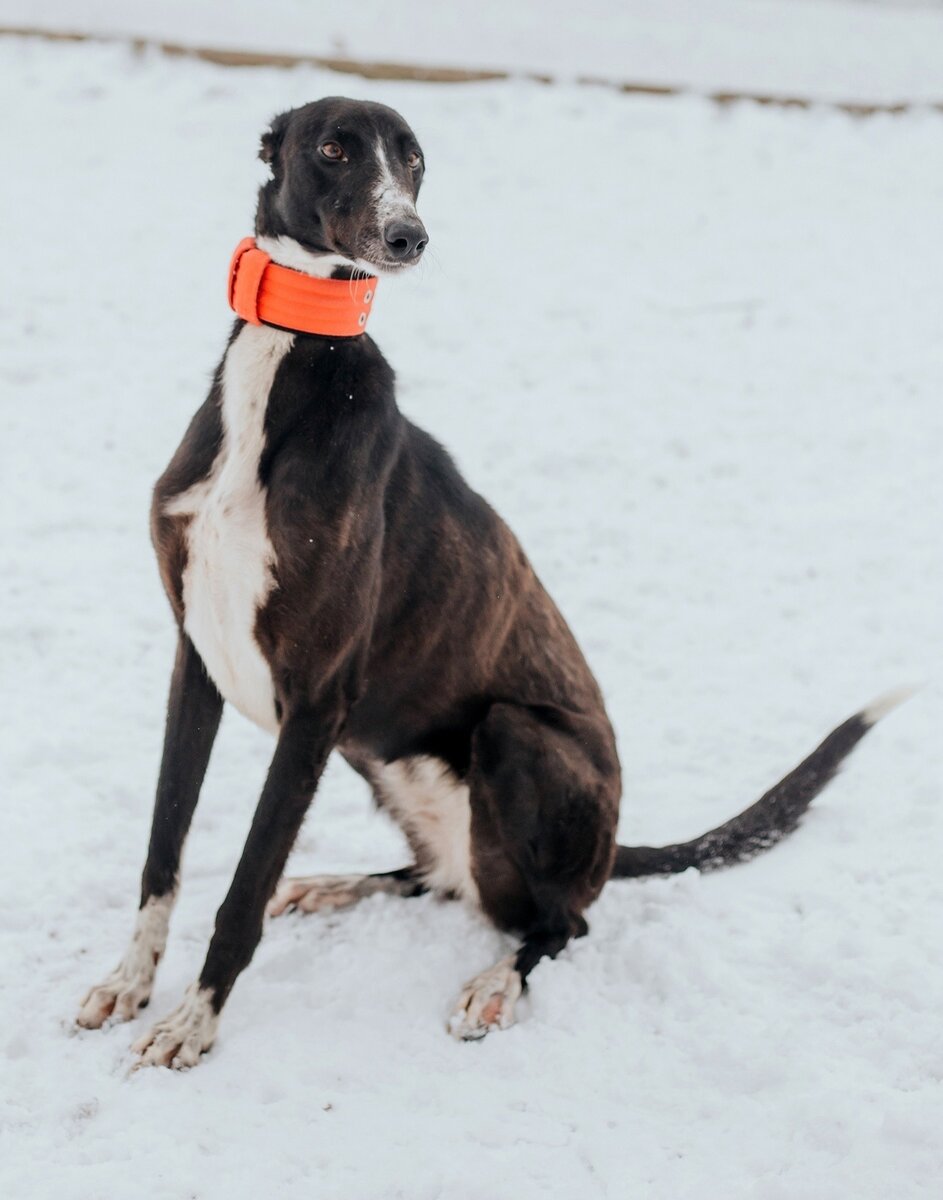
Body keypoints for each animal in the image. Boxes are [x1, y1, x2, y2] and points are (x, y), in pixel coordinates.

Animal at [77, 97, 907, 1067]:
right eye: (333, 147)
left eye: (415, 159)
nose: (408, 237)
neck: (287, 355)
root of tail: (611, 848)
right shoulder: (196, 659)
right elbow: (162, 851)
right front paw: (129, 983)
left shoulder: (316, 698)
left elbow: (243, 883)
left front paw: (193, 1021)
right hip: (379, 756)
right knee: (444, 877)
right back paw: (336, 884)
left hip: (511, 736)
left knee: (559, 922)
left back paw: (494, 982)